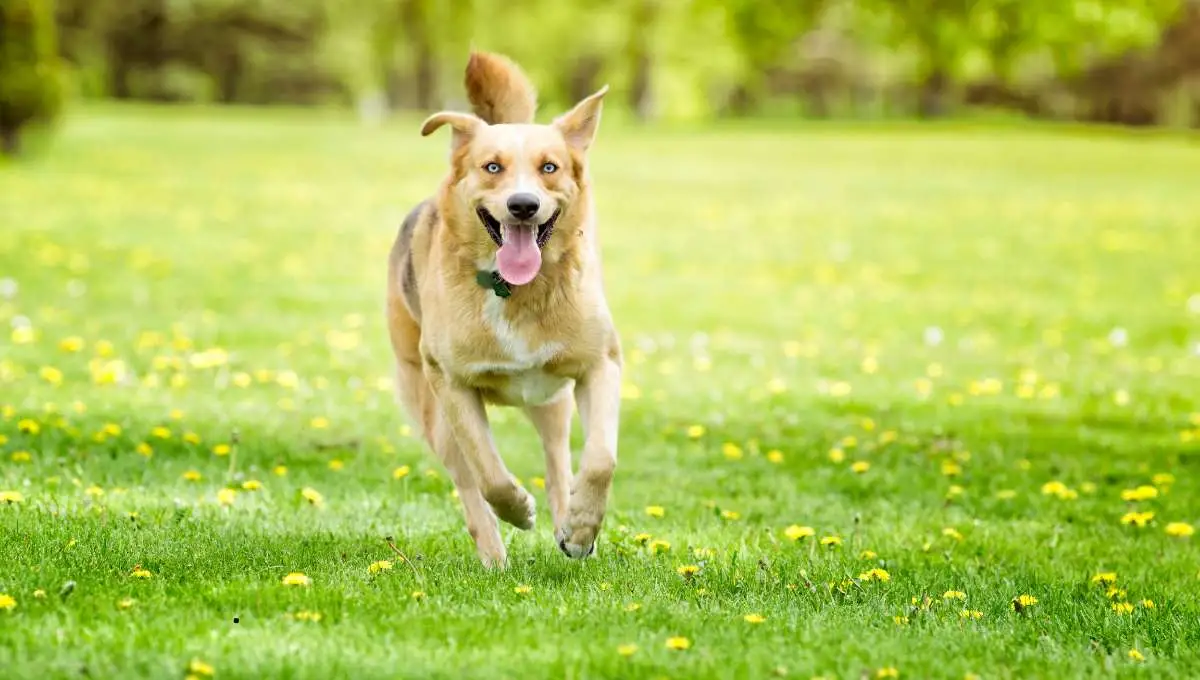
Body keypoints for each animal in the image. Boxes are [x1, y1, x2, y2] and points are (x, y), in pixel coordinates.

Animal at [388, 50, 624, 566]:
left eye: (550, 167)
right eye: (492, 167)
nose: (522, 205)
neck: (515, 291)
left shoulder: (601, 364)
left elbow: (600, 460)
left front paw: (581, 530)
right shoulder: (452, 384)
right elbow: (489, 473)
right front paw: (518, 509)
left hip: (552, 403)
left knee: (558, 465)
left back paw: (568, 526)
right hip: (434, 416)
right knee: (469, 486)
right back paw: (495, 558)